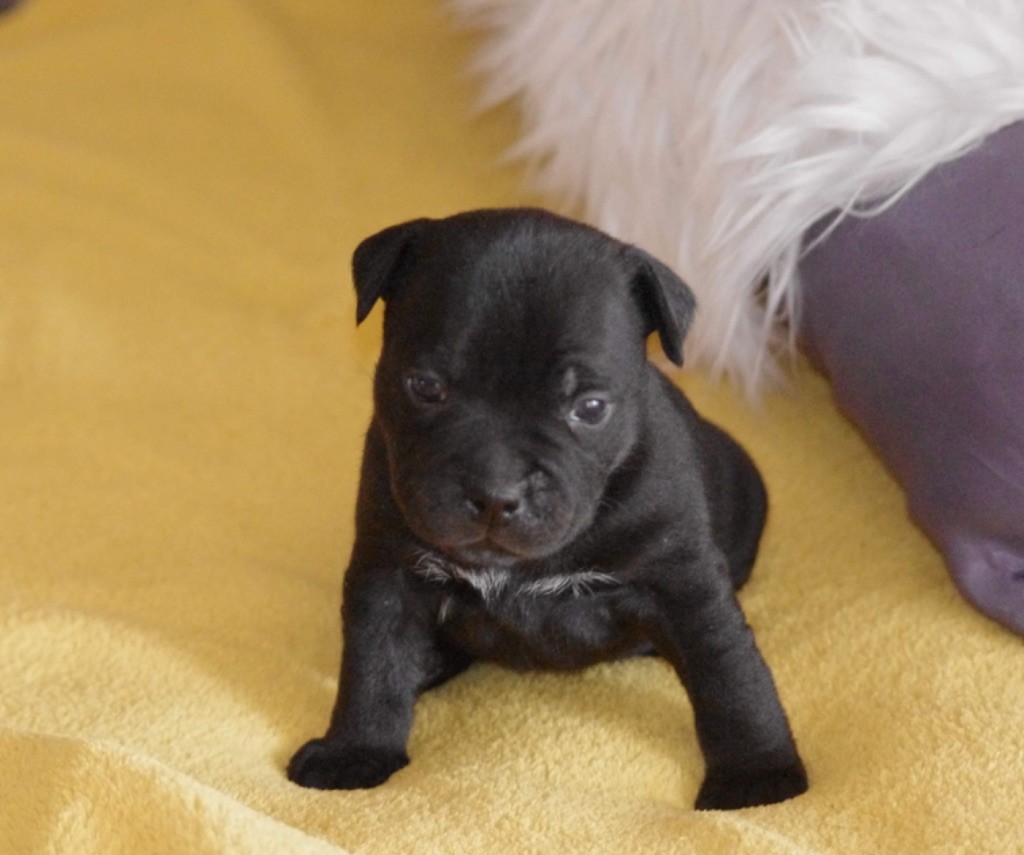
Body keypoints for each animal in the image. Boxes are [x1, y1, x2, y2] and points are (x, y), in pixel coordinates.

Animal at [288, 210, 806, 810]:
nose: (496, 491)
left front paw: (757, 775)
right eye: (425, 387)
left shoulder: (684, 584)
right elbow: (372, 666)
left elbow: (729, 674)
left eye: (591, 407)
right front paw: (354, 750)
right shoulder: (389, 571)